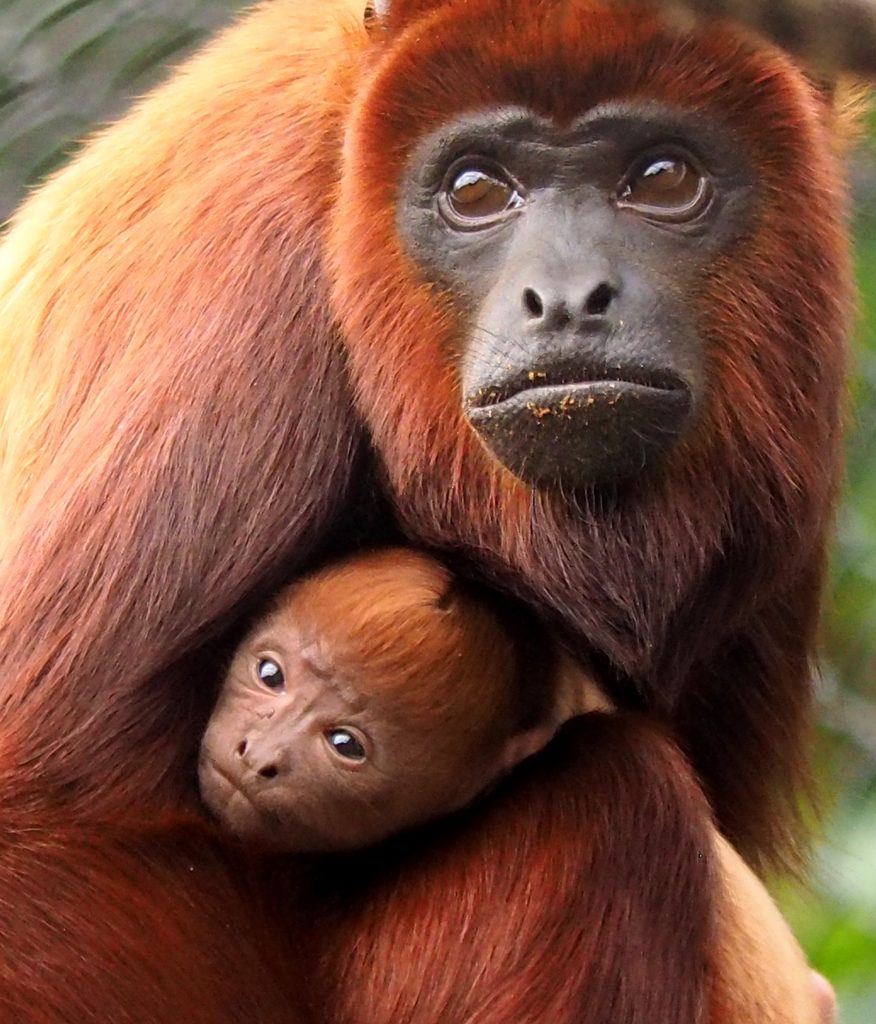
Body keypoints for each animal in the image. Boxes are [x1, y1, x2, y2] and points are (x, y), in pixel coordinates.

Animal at [0, 0, 865, 1019]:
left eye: (663, 176)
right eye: (476, 189)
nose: (567, 300)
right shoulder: (233, 311)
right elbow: (45, 828)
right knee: (618, 795)